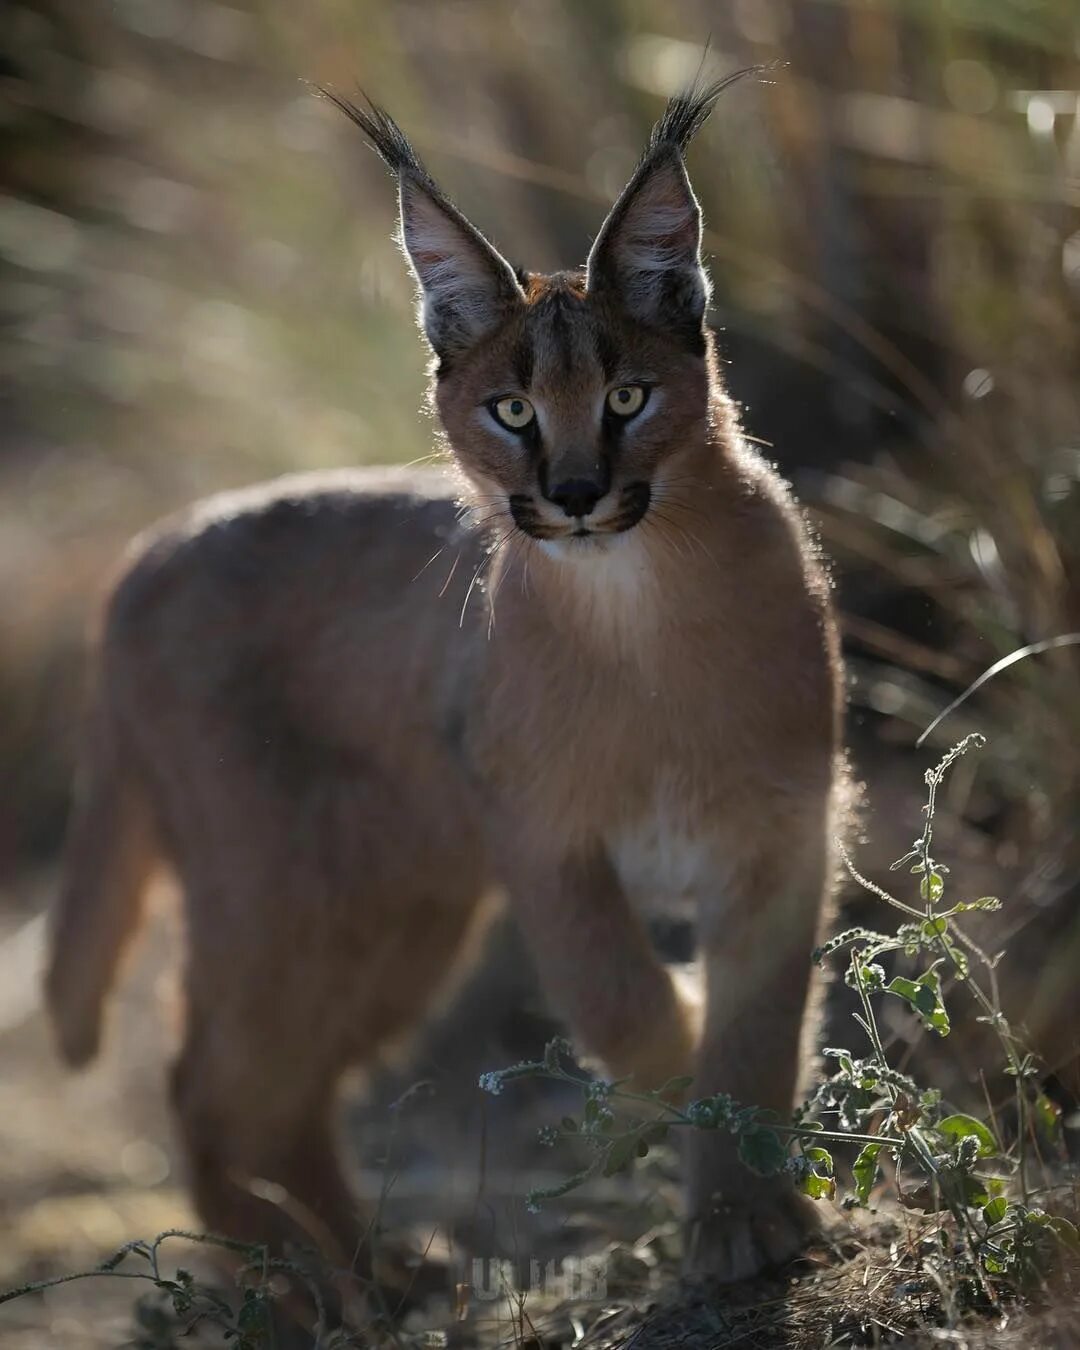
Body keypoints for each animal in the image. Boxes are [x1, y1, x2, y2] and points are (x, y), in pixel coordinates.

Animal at [48, 76, 842, 1285]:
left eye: (626, 398)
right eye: (511, 410)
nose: (574, 493)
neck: (639, 607)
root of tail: (148, 551)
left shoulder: (781, 826)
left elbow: (758, 1028)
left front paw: (743, 1207)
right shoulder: (541, 837)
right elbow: (623, 1002)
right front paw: (690, 1078)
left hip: (392, 907)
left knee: (270, 1088)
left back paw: (360, 1272)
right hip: (287, 892)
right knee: (212, 1082)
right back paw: (305, 1290)